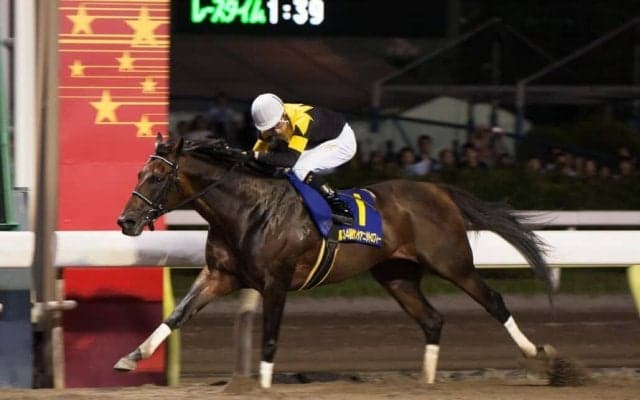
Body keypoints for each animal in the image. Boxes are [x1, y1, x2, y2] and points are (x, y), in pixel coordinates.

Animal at [114, 134, 557, 388]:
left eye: (157, 177)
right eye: (137, 173)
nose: (126, 221)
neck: (247, 210)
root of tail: (439, 191)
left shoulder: (275, 281)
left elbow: (270, 335)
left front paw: (263, 385)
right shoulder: (220, 275)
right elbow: (177, 316)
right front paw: (130, 357)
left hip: (452, 263)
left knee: (493, 301)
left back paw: (540, 355)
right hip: (396, 276)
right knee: (432, 320)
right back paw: (427, 382)